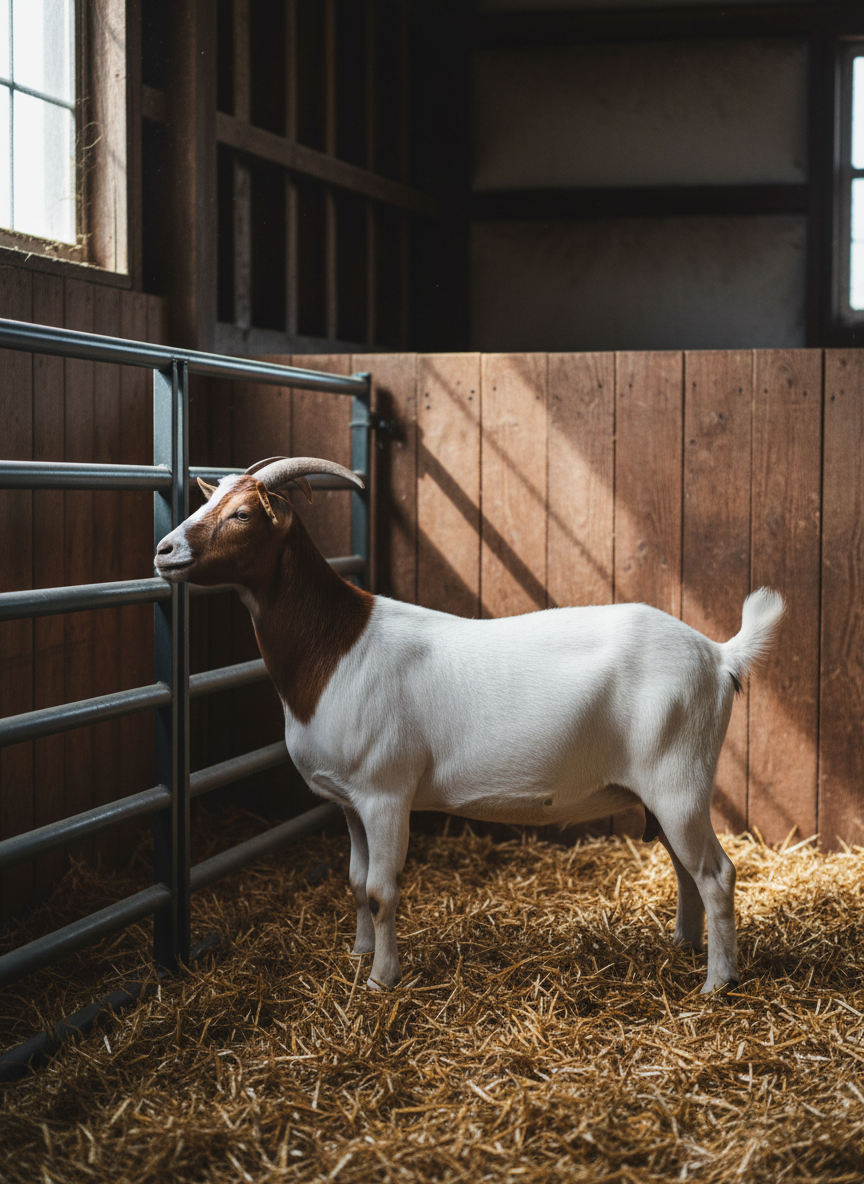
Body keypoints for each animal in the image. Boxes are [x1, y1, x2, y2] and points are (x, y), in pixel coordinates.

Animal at [155, 456, 784, 994]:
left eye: (242, 514)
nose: (163, 550)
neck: (334, 647)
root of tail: (719, 654)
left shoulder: (385, 791)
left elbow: (382, 889)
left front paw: (382, 979)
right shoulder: (348, 801)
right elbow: (355, 882)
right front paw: (359, 953)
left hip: (680, 780)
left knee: (716, 874)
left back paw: (717, 981)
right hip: (665, 789)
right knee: (685, 868)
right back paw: (682, 947)